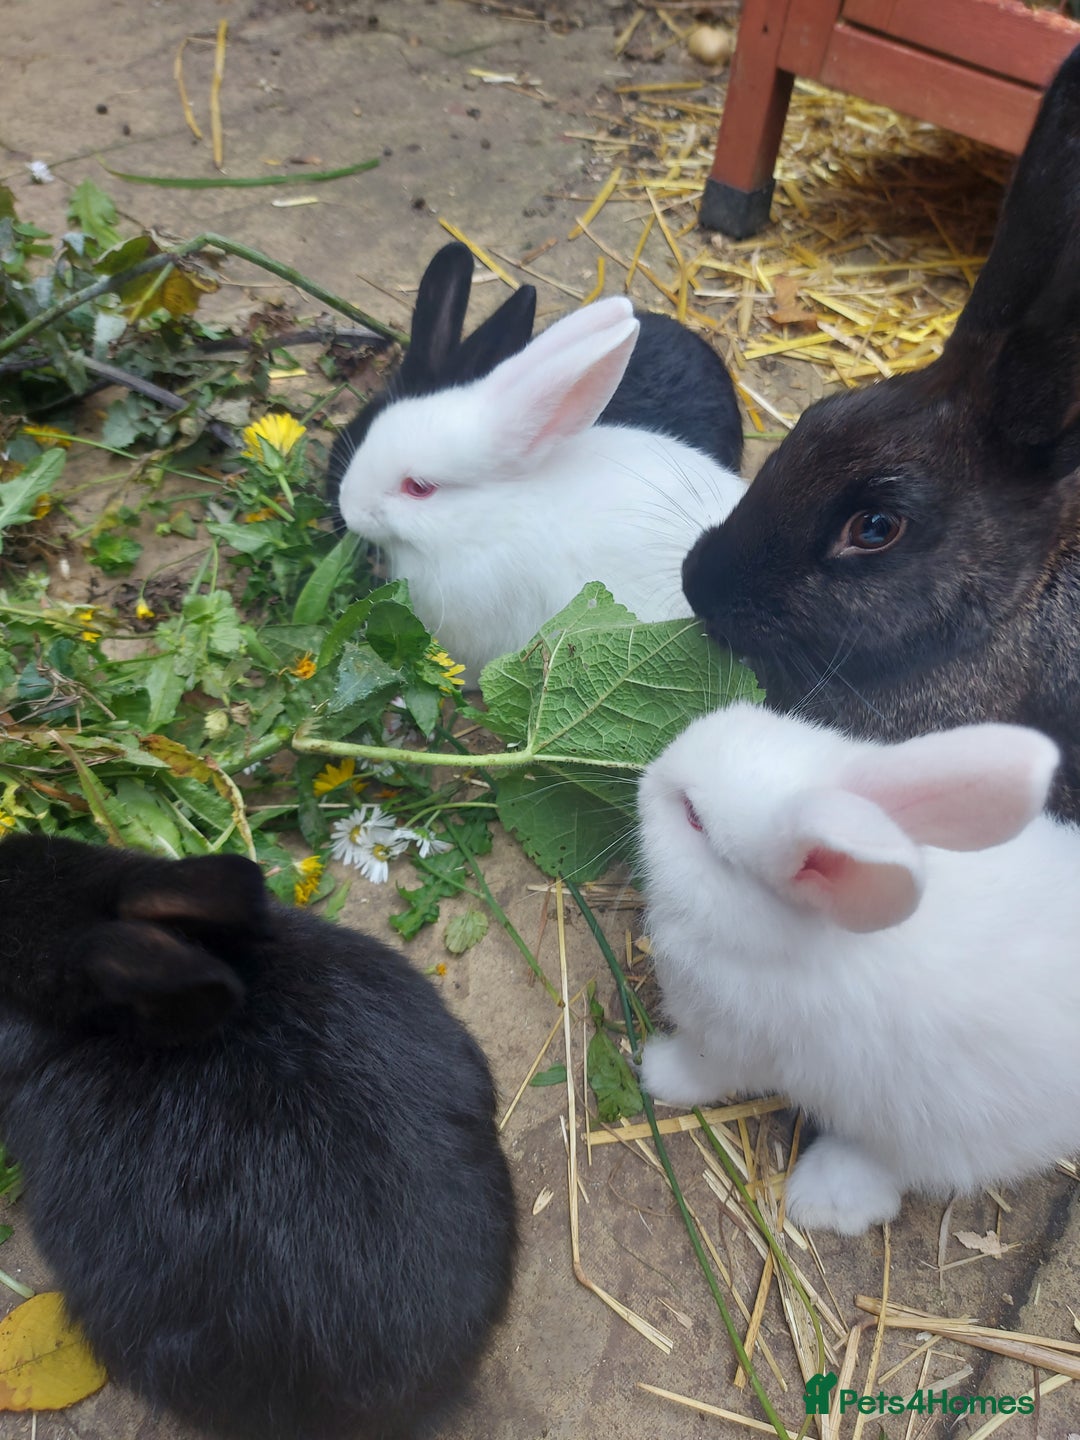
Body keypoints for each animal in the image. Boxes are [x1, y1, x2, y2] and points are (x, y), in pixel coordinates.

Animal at [636, 700, 1080, 1236]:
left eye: (693, 817)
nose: (649, 772)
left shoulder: (730, 1040)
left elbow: (701, 1072)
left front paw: (652, 1069)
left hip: (936, 1126)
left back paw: (820, 1199)